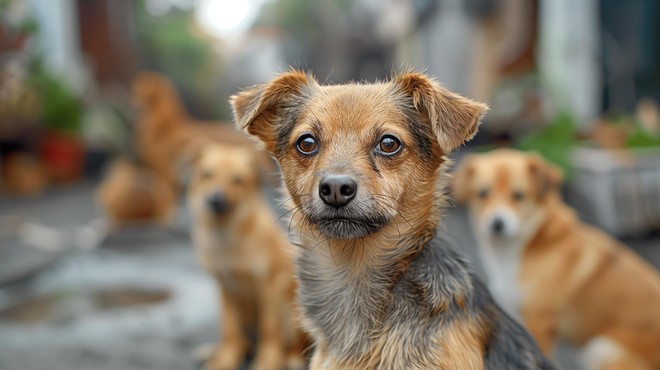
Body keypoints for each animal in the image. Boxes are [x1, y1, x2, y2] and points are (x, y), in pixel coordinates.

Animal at [187, 142, 306, 370]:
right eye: (207, 175)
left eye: (237, 180)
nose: (215, 200)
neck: (227, 235)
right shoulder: (225, 287)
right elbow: (229, 329)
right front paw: (225, 360)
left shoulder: (269, 286)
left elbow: (269, 330)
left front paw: (267, 362)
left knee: (295, 343)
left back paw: (292, 358)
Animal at [452, 149, 660, 368]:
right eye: (483, 193)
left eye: (519, 195)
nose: (497, 224)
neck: (530, 243)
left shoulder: (539, 322)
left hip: (599, 348)